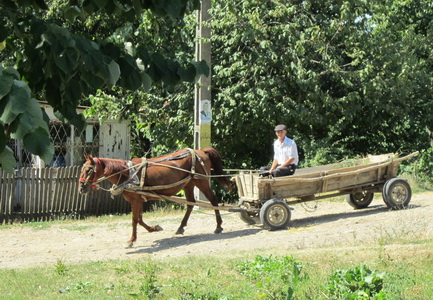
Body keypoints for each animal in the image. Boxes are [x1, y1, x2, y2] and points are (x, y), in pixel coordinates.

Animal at [77, 146, 233, 247]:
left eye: (88, 170)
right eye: (82, 169)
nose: (81, 188)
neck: (127, 173)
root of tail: (201, 151)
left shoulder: (135, 200)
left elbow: (134, 220)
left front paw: (132, 240)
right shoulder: (138, 199)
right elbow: (139, 219)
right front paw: (154, 228)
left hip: (201, 181)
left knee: (213, 201)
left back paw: (218, 226)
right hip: (189, 184)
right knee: (190, 203)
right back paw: (181, 227)